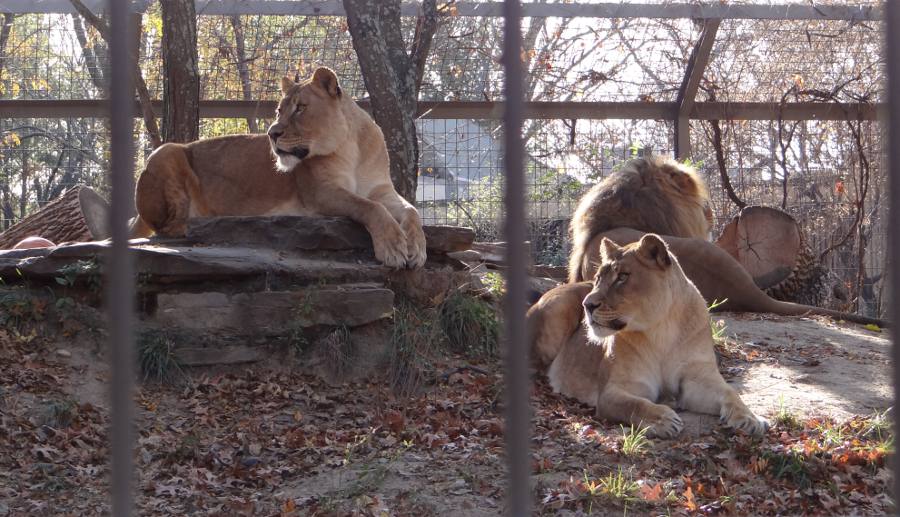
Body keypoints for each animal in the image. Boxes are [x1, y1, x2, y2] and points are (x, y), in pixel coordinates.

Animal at [128, 66, 428, 268]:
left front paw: (417, 248)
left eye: (300, 108)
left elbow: (411, 211)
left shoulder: (382, 190)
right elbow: (369, 207)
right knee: (167, 227)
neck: (350, 145)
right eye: (278, 111)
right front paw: (393, 247)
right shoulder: (321, 193)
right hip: (167, 152)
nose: (272, 133)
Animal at [532, 236, 768, 438]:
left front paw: (751, 419)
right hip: (558, 309)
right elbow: (636, 404)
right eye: (598, 279)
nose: (587, 305)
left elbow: (731, 393)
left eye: (622, 277)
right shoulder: (614, 390)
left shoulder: (698, 378)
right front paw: (663, 420)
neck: (662, 330)